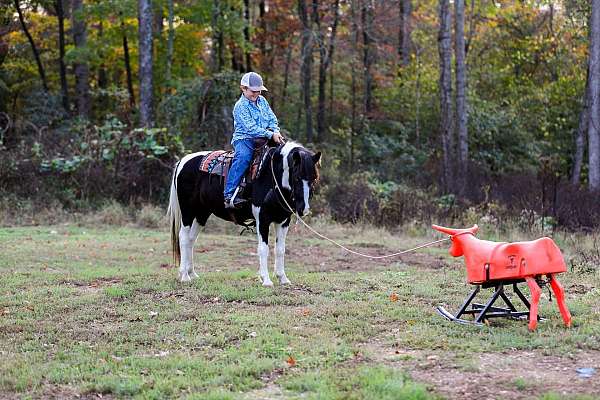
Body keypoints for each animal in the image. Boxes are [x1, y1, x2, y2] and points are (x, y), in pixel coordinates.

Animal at [166, 142, 322, 286]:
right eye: (297, 177)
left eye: (314, 178)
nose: (303, 209)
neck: (271, 176)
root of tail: (183, 161)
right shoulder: (262, 219)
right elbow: (263, 249)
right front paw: (266, 280)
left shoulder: (283, 221)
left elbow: (280, 249)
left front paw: (283, 278)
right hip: (187, 211)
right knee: (183, 237)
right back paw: (184, 276)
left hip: (202, 213)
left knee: (191, 239)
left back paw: (192, 273)